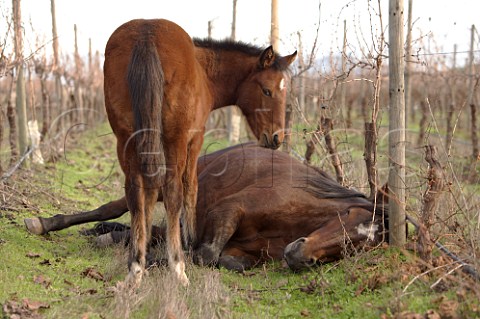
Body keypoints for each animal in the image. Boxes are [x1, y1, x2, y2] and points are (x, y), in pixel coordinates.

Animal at [25, 145, 386, 272]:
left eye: (358, 247)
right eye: (348, 216)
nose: (298, 256)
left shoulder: (241, 250)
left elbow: (220, 259)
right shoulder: (228, 209)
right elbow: (206, 254)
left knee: (153, 230)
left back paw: (108, 236)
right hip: (159, 189)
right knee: (109, 210)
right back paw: (46, 223)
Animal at [101, 18, 296, 286]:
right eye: (267, 90)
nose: (277, 138)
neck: (204, 72)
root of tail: (146, 34)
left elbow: (148, 195)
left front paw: (144, 254)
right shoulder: (194, 139)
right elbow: (190, 188)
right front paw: (189, 242)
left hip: (126, 140)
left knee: (135, 191)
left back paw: (135, 268)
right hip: (174, 139)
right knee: (173, 191)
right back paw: (178, 267)